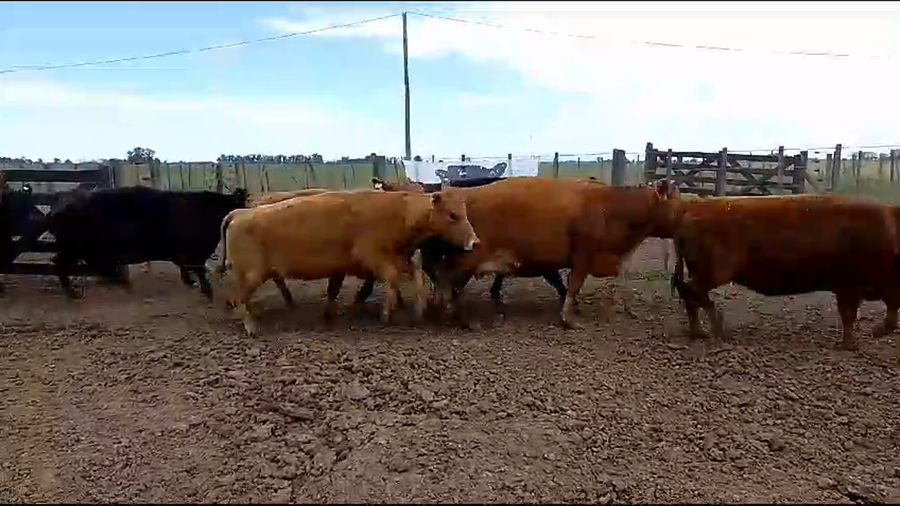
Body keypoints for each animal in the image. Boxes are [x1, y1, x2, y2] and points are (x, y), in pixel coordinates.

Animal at [46, 185, 250, 299]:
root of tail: (58, 206)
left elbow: (188, 268)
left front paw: (190, 282)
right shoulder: (196, 251)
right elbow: (198, 270)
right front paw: (207, 292)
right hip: (75, 247)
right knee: (60, 262)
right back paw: (73, 293)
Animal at [216, 188, 479, 336]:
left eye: (464, 213)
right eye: (453, 215)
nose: (475, 242)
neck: (398, 213)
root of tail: (240, 213)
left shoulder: (393, 257)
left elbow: (413, 274)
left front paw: (419, 306)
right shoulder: (372, 256)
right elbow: (392, 277)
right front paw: (386, 312)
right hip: (251, 273)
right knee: (238, 295)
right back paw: (250, 325)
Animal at [429, 177, 680, 329]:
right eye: (678, 204)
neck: (609, 208)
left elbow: (563, 286)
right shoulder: (582, 258)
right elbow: (573, 285)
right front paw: (568, 317)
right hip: (466, 259)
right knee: (449, 283)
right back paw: (459, 317)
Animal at [670, 194, 897, 351]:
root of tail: (690, 214)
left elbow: (891, 311)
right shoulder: (849, 286)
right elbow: (850, 315)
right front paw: (851, 344)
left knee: (691, 295)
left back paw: (702, 331)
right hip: (713, 273)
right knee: (692, 293)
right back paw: (713, 328)